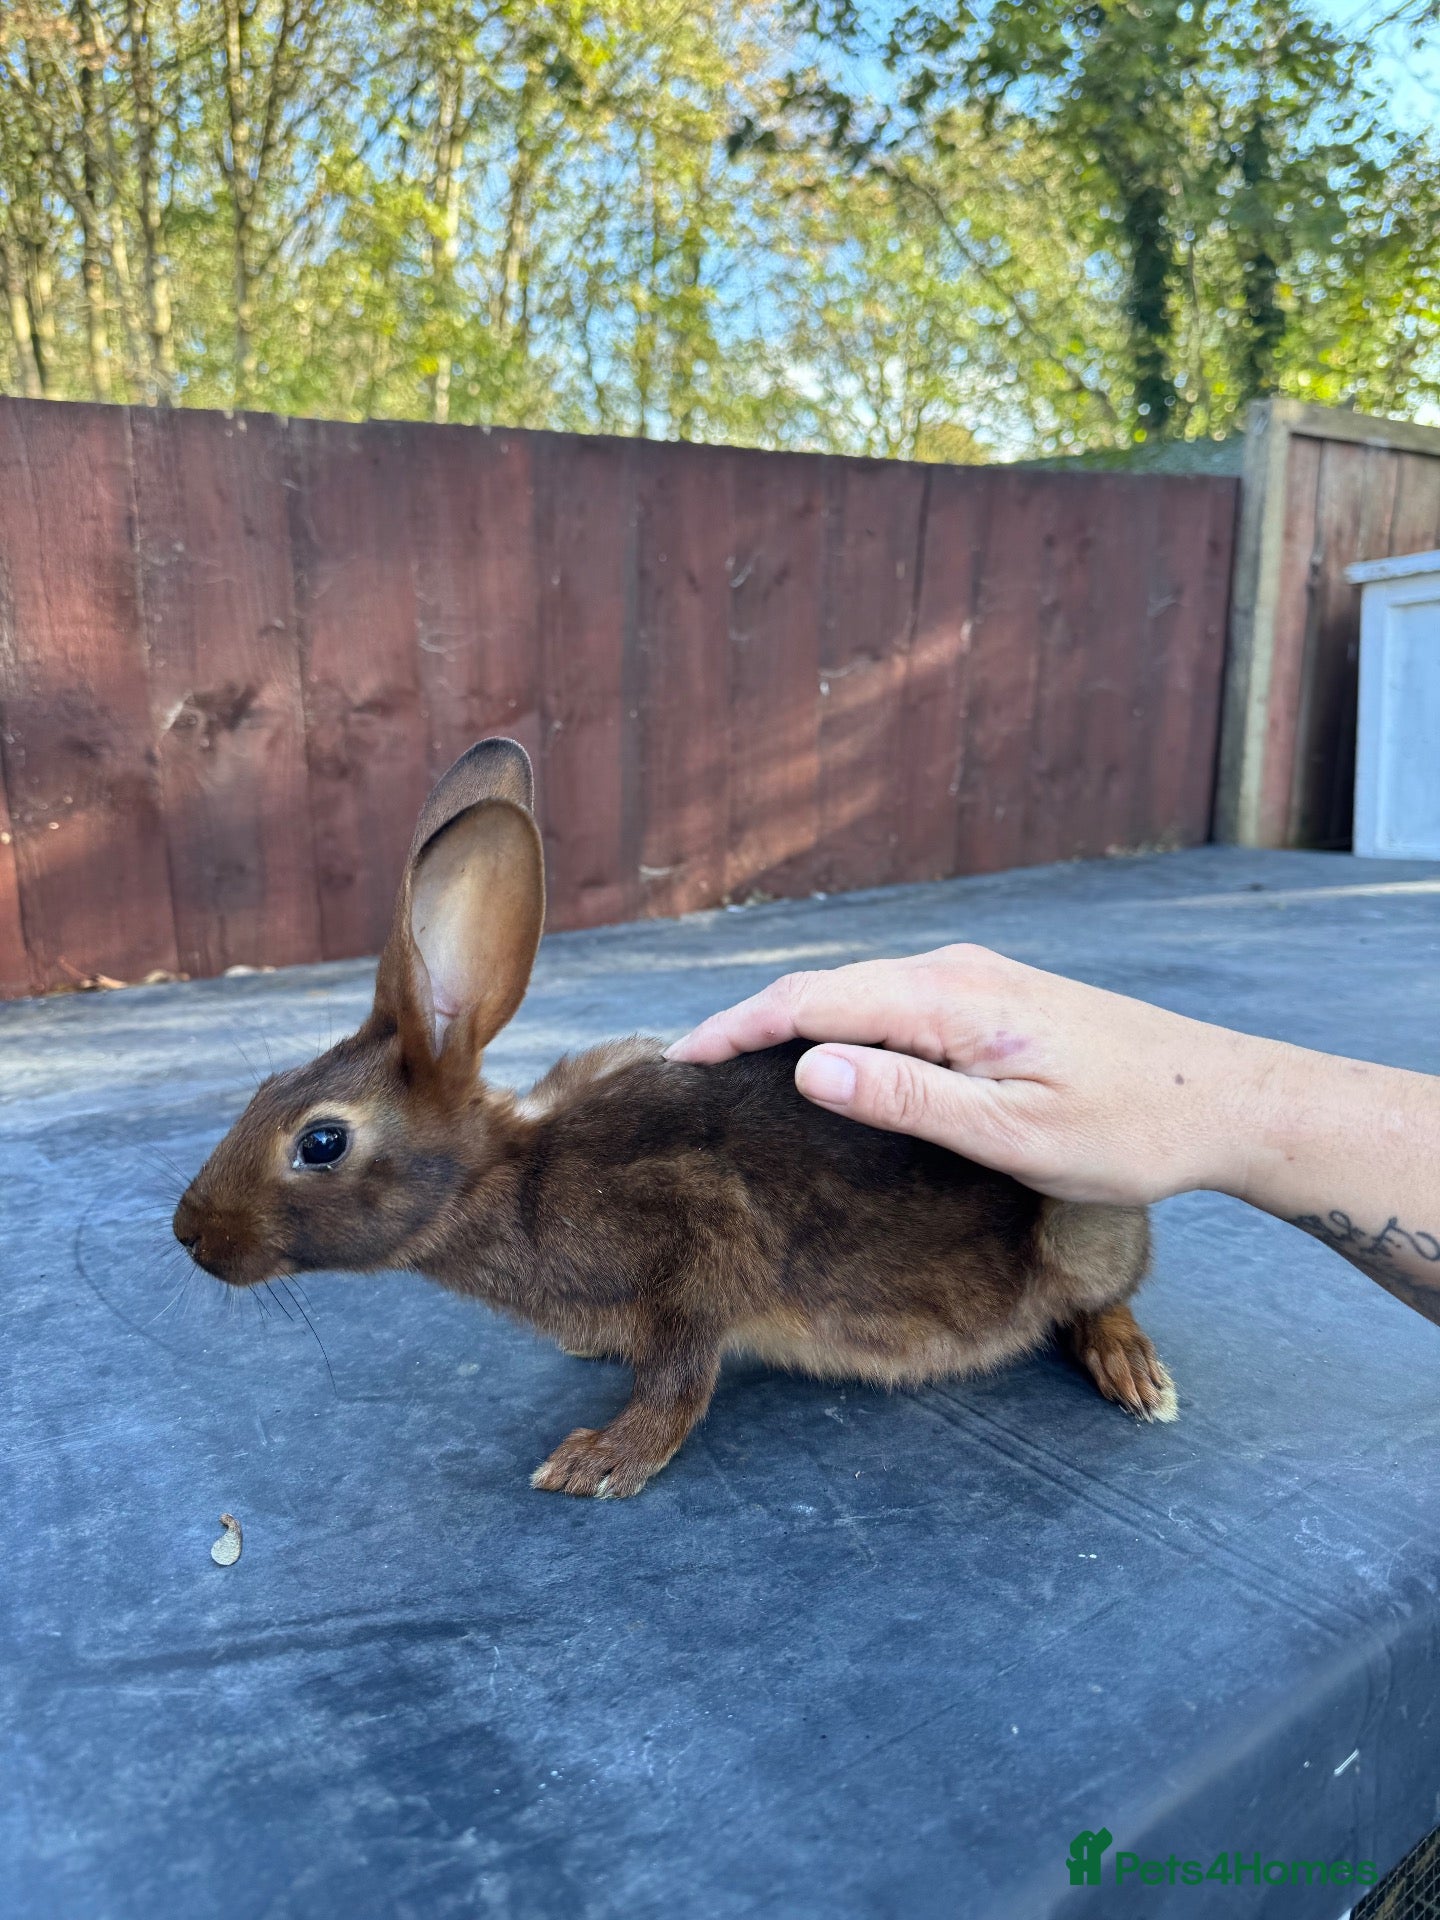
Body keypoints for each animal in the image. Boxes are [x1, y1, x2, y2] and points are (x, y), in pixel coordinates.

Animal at [173, 738, 1176, 1498]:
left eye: (321, 1142)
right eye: (263, 1090)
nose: (188, 1232)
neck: (512, 1179)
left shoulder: (703, 1238)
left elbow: (682, 1374)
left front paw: (599, 1463)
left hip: (1082, 1212)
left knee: (1104, 1296)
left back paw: (1134, 1372)